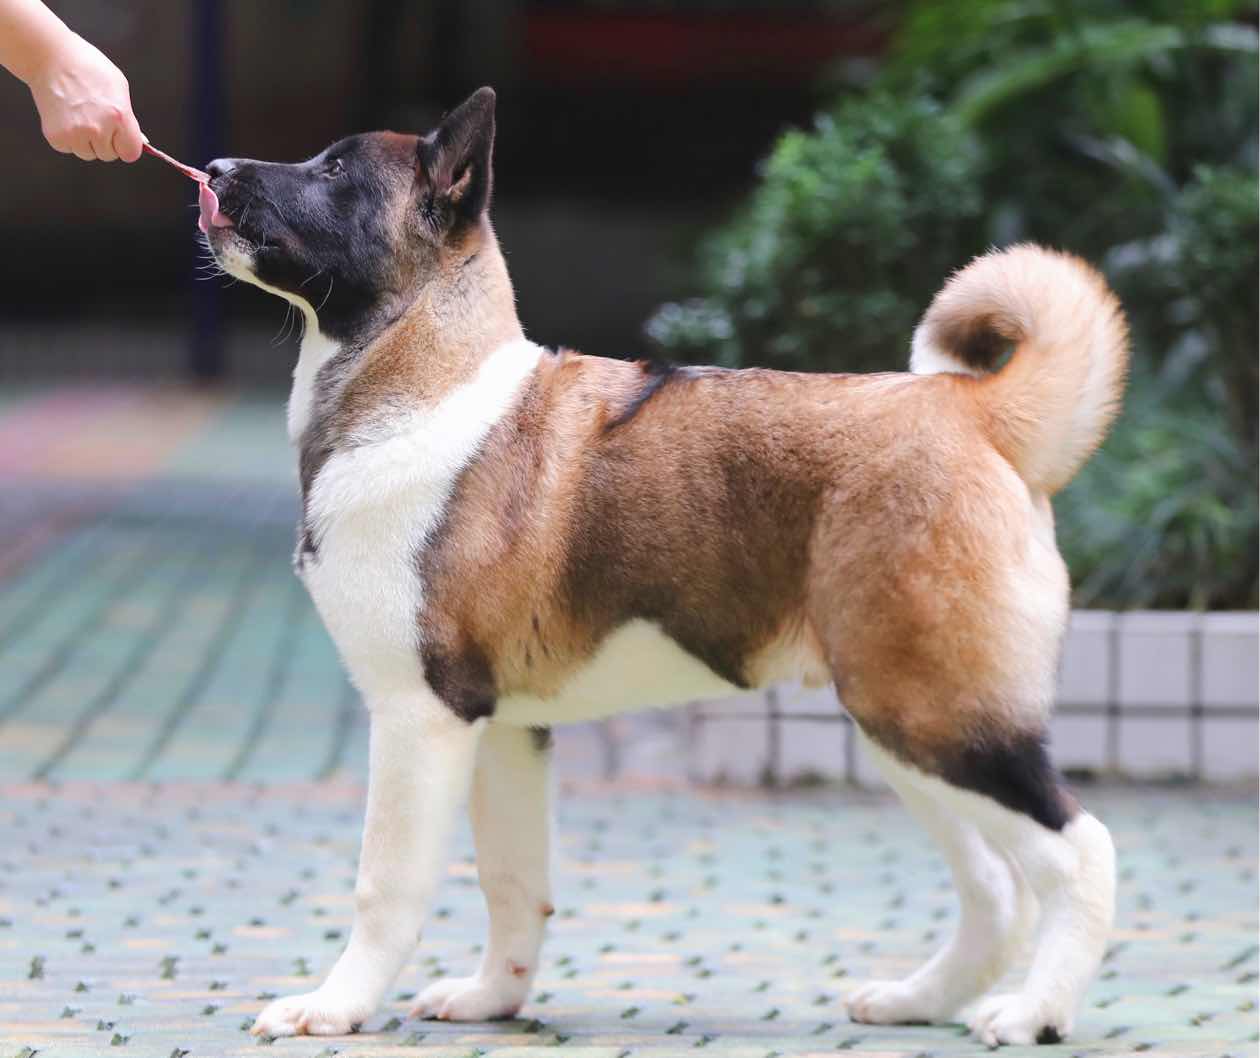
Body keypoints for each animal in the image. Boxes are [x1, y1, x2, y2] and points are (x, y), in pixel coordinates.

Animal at [201, 86, 1128, 1047]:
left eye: (335, 172)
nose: (217, 169)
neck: (425, 378)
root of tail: (973, 411)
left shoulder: (422, 716)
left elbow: (385, 885)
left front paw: (335, 1006)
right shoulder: (505, 727)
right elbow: (513, 882)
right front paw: (495, 998)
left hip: (935, 718)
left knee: (1079, 850)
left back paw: (1035, 1012)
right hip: (906, 722)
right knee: (996, 885)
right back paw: (921, 1001)